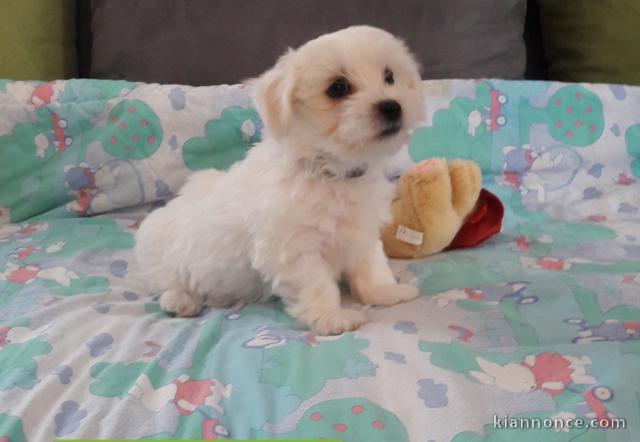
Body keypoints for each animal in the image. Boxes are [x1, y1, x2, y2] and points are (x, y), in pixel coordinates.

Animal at [135, 25, 424, 334]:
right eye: (337, 88)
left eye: (389, 77)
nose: (392, 106)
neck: (329, 171)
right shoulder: (294, 247)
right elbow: (318, 283)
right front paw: (331, 317)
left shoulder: (363, 231)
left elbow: (371, 265)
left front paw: (387, 292)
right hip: (163, 256)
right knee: (168, 284)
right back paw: (181, 301)